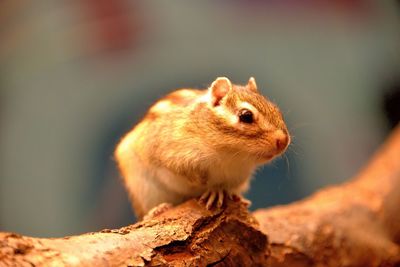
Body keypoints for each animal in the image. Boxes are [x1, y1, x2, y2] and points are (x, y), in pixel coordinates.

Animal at [114, 77, 290, 220]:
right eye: (246, 116)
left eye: (277, 110)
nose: (283, 141)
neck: (229, 154)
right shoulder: (172, 153)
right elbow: (189, 173)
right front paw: (208, 185)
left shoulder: (239, 176)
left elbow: (226, 186)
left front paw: (222, 191)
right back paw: (158, 210)